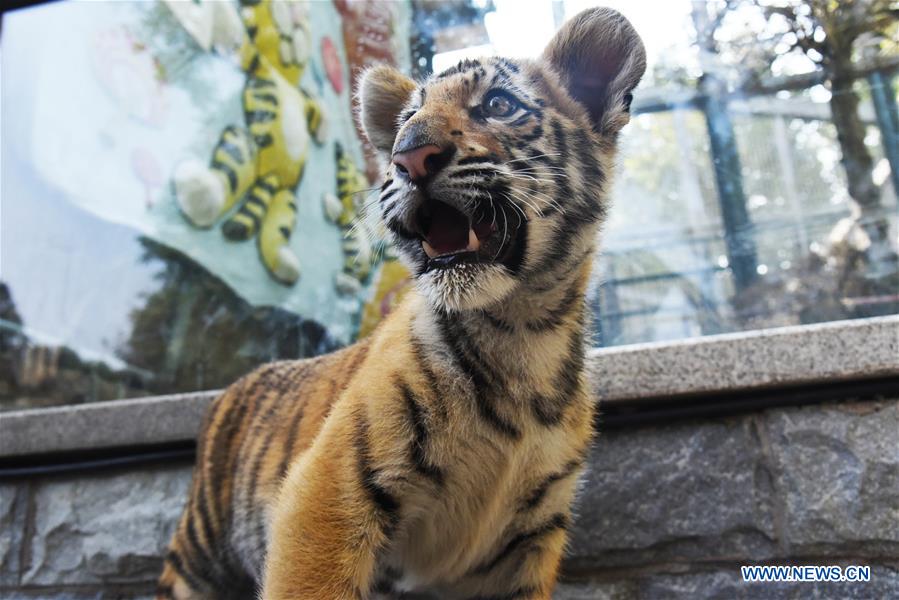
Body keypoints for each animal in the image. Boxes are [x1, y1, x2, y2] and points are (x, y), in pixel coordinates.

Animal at [157, 7, 645, 599]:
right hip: (199, 555)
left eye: (498, 105)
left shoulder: (529, 540)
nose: (408, 154)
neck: (523, 330)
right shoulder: (327, 493)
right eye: (408, 118)